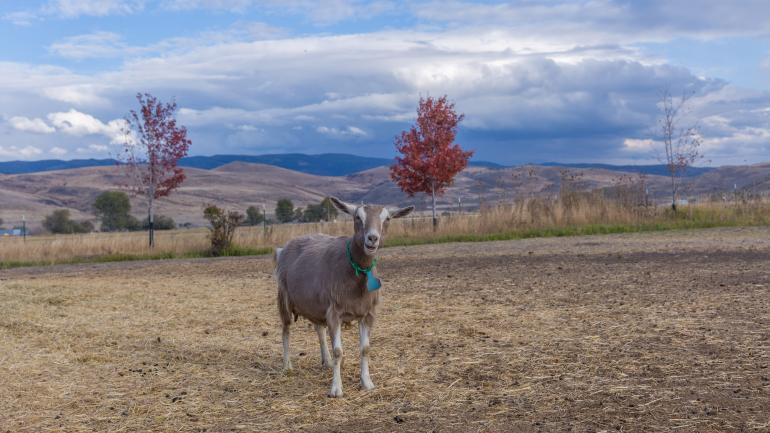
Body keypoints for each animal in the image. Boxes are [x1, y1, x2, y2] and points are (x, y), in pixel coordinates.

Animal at [274, 196, 414, 397]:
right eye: (357, 217)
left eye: (387, 218)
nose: (372, 238)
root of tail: (284, 248)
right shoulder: (334, 312)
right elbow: (338, 351)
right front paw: (336, 389)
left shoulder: (368, 313)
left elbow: (365, 349)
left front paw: (367, 383)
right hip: (284, 297)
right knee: (286, 329)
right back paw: (287, 367)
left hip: (315, 304)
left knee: (319, 330)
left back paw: (326, 362)